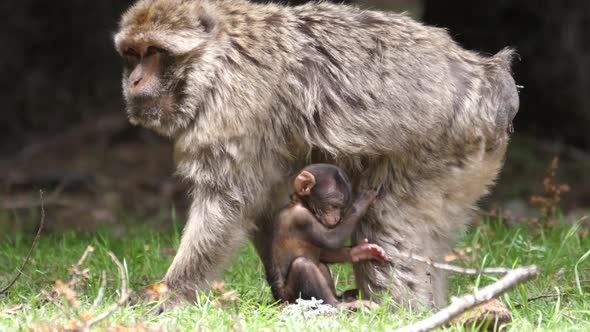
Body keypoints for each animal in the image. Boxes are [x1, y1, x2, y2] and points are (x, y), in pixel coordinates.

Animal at [264, 163, 386, 308]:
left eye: (341, 207)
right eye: (334, 206)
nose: (337, 217)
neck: (300, 203)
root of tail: (278, 301)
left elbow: (324, 252)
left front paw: (362, 251)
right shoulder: (301, 218)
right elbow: (330, 240)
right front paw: (363, 201)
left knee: (320, 264)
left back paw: (345, 297)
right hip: (290, 297)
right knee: (303, 265)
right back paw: (339, 304)